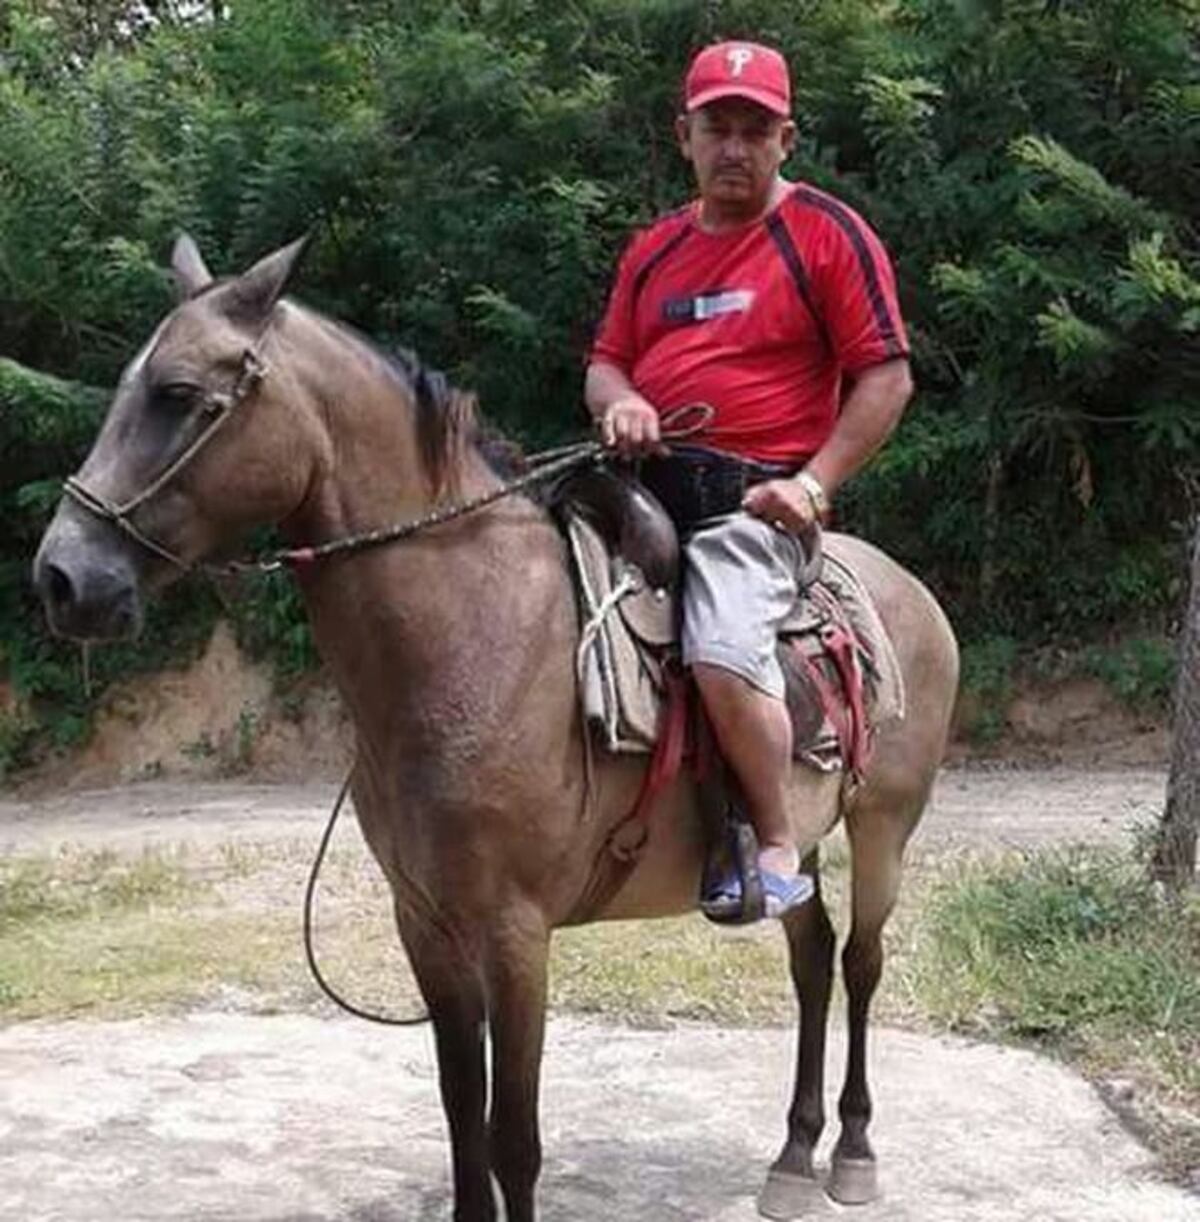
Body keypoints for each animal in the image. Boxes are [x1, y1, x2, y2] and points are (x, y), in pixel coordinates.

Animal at [33, 236, 959, 1222]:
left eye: (177, 393)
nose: (62, 577)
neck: (475, 633)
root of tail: (906, 587)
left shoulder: (516, 935)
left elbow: (513, 1136)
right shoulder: (426, 925)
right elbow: (460, 1116)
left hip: (883, 825)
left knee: (860, 961)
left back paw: (852, 1150)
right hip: (804, 837)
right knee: (813, 958)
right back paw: (791, 1155)